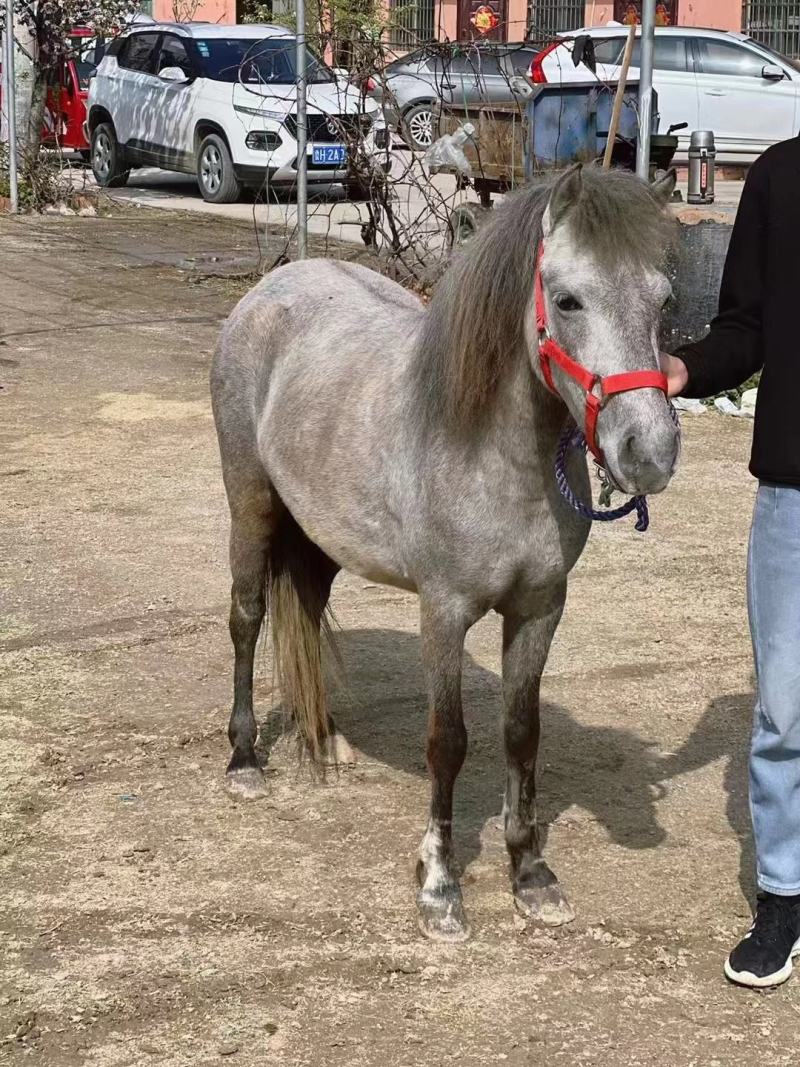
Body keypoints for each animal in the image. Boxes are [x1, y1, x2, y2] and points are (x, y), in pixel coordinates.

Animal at [210, 163, 681, 941]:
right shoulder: (444, 611)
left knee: (301, 608)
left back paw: (325, 738)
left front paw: (530, 874)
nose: (649, 453)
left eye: (663, 299)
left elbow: (522, 733)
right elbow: (448, 740)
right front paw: (439, 884)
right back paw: (245, 759)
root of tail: (272, 286)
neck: (491, 451)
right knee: (247, 618)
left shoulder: (539, 609)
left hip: (321, 533)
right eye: (567, 299)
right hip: (250, 504)